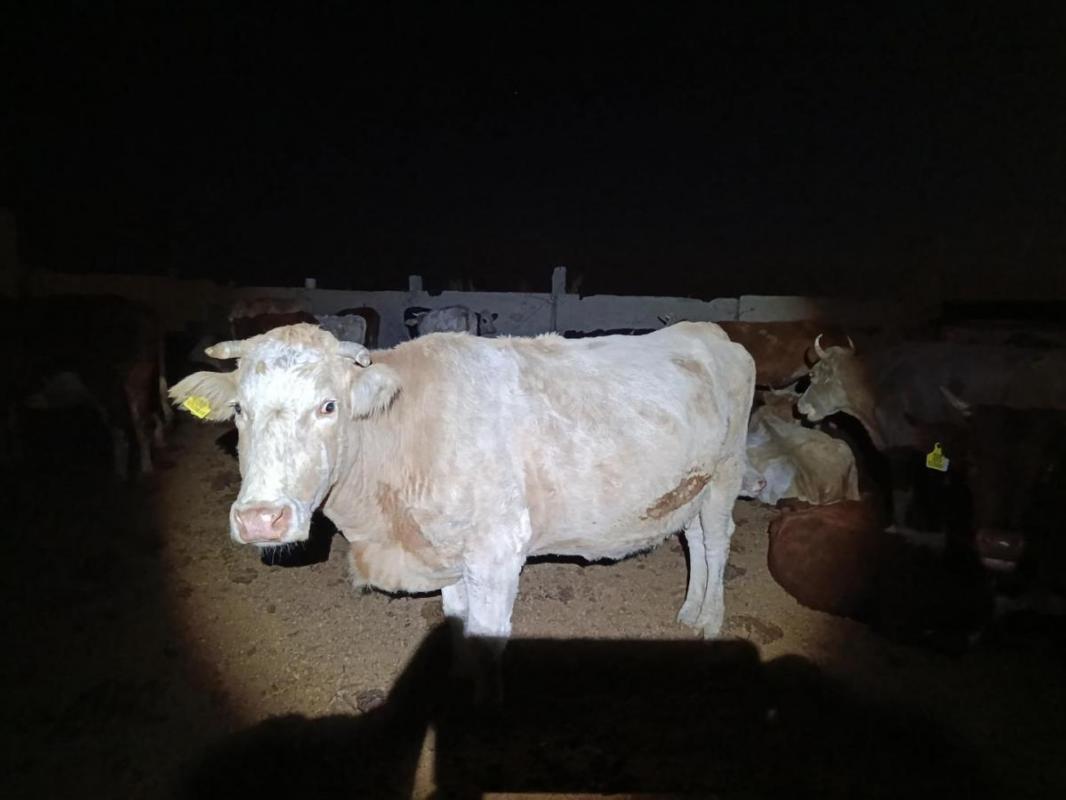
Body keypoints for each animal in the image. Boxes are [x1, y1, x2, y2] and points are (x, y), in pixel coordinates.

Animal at [170, 322, 756, 653]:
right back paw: (689, 612)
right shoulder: (445, 554)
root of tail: (708, 330)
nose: (259, 519)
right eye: (239, 410)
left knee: (718, 541)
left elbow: (487, 637)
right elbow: (458, 626)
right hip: (690, 485)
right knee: (694, 540)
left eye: (328, 405)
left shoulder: (499, 552)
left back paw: (710, 620)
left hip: (727, 471)